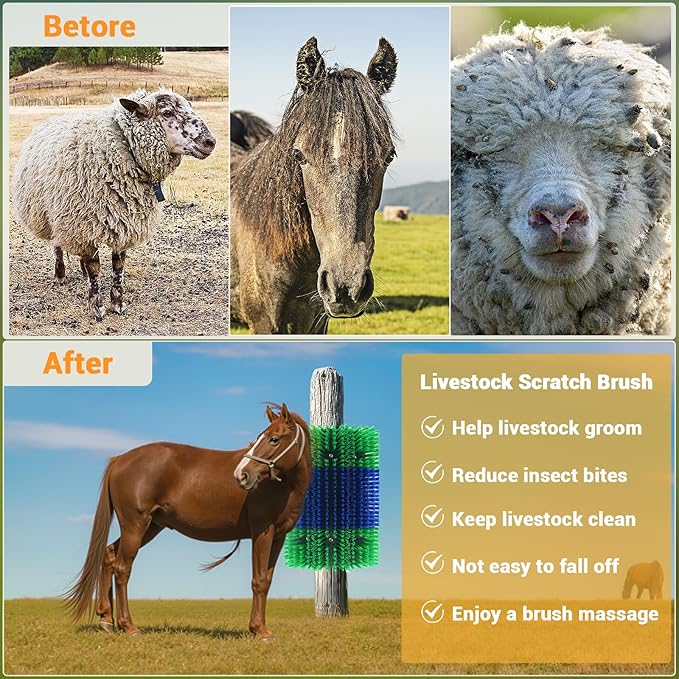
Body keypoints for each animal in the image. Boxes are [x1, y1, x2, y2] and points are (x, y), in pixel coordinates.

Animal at [12, 89, 216, 321]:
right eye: (167, 112)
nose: (210, 142)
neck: (121, 151)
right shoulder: (84, 224)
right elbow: (95, 269)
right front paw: (96, 308)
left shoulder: (123, 222)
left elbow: (118, 266)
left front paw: (118, 304)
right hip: (52, 214)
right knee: (57, 245)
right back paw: (60, 274)